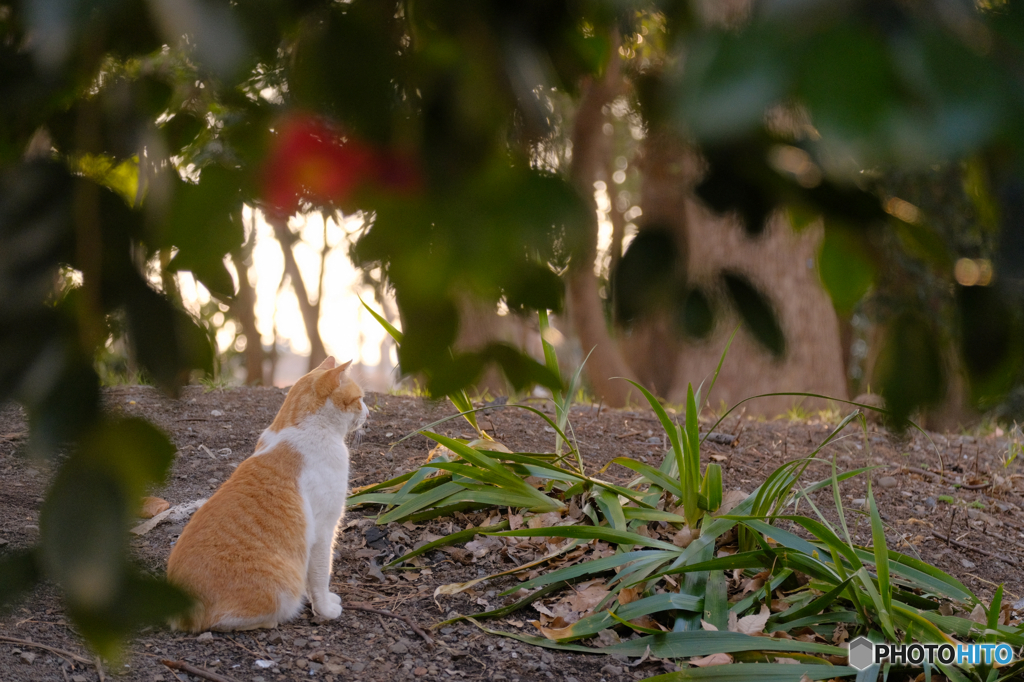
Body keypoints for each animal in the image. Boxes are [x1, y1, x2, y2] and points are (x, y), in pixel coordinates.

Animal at [162, 358, 364, 630]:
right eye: (360, 399)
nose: (368, 412)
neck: (302, 427)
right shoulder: (323, 530)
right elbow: (320, 576)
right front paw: (325, 609)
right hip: (281, 590)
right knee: (223, 621)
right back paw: (272, 621)